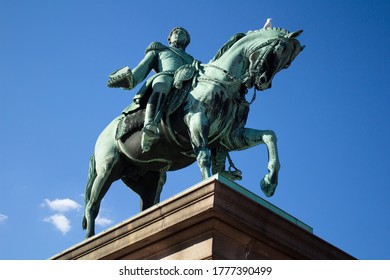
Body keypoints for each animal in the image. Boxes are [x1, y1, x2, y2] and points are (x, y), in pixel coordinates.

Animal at [83, 27, 304, 237]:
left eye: (287, 64)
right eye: (279, 49)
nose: (264, 81)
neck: (224, 83)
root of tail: (101, 136)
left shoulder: (231, 136)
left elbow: (269, 135)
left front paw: (269, 182)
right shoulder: (197, 121)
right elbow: (204, 157)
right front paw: (208, 187)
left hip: (149, 178)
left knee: (147, 205)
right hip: (108, 167)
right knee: (92, 206)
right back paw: (90, 238)